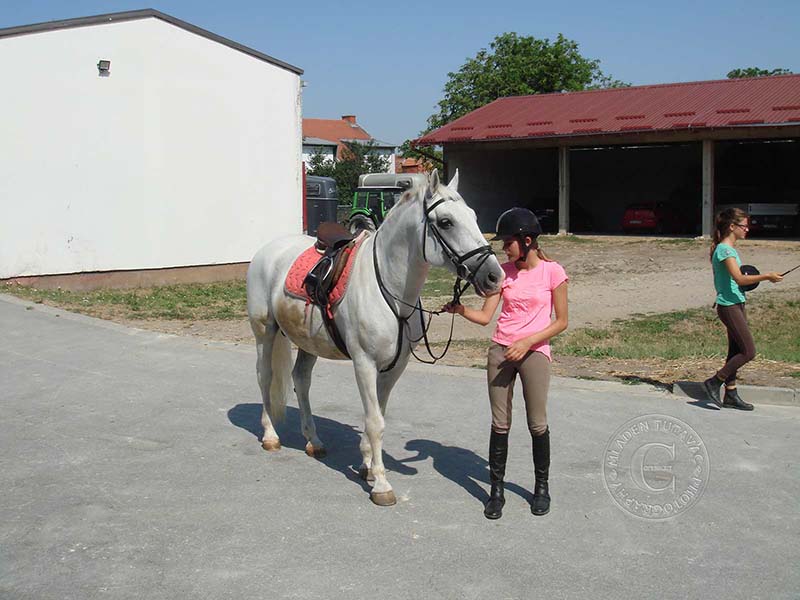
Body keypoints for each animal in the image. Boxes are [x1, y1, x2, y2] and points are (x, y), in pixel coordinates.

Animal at [247, 170, 504, 506]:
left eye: (473, 216)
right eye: (447, 222)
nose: (494, 276)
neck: (391, 292)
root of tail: (267, 250)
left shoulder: (395, 367)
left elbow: (378, 416)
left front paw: (367, 465)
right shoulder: (365, 364)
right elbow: (374, 422)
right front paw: (381, 484)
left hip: (308, 342)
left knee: (300, 380)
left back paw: (314, 441)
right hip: (265, 332)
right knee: (265, 377)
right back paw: (270, 435)